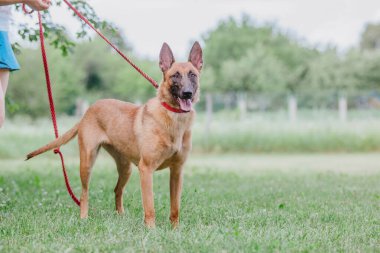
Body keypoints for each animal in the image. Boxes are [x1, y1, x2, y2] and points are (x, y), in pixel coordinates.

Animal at [26, 41, 203, 227]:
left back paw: (120, 215)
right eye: (175, 75)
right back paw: (84, 217)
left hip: (126, 168)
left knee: (117, 189)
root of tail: (88, 111)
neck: (173, 118)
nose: (188, 93)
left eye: (192, 75)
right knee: (84, 194)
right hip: (87, 162)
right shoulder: (146, 169)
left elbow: (175, 207)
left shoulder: (177, 171)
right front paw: (151, 229)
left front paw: (175, 229)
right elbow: (150, 206)